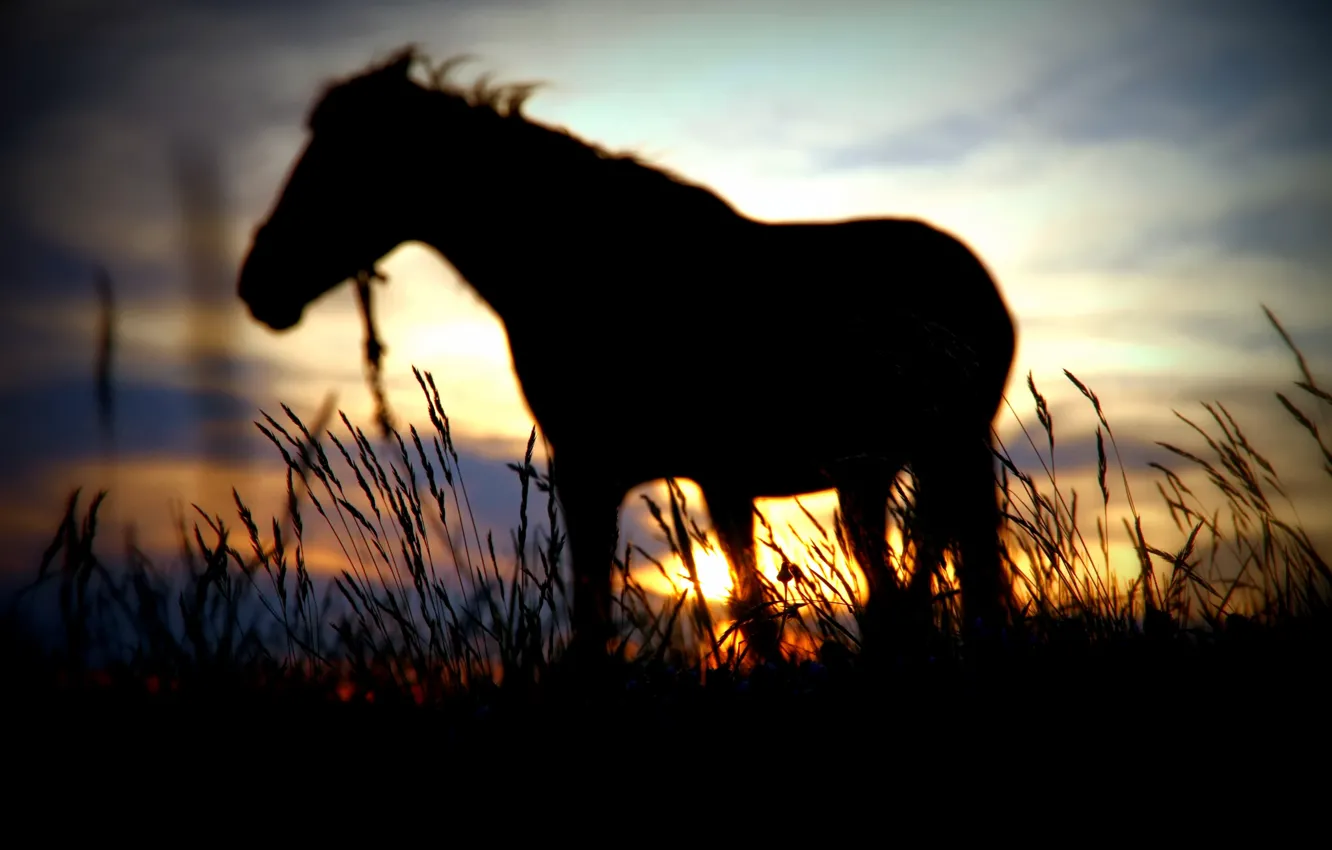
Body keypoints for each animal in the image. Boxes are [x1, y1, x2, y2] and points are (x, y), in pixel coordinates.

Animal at [237, 46, 1017, 671]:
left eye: (339, 159)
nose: (257, 284)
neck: (608, 267)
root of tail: (977, 280)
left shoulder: (600, 471)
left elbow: (621, 621)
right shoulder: (695, 479)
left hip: (937, 457)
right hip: (890, 472)